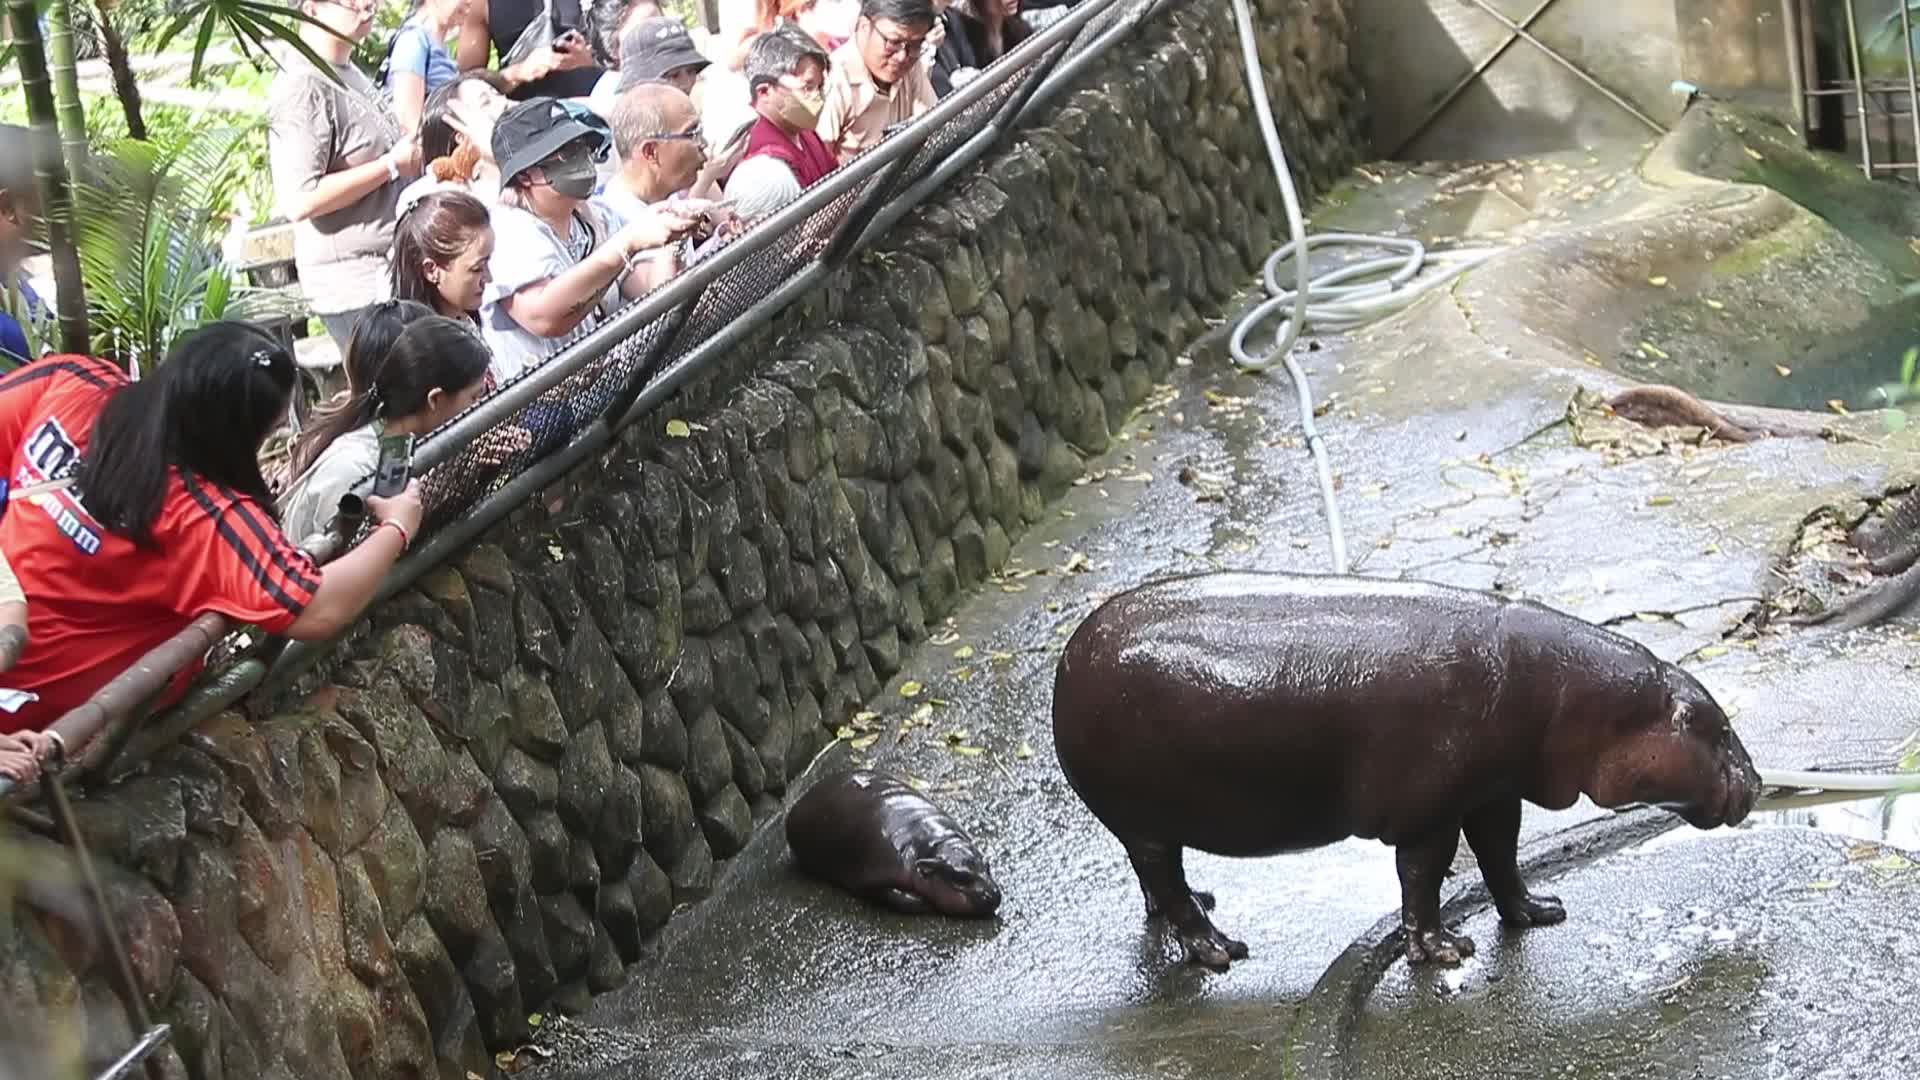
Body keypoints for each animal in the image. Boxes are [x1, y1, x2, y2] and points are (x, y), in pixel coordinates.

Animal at [785, 768, 1003, 917]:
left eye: (987, 865)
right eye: (961, 878)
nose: (994, 894)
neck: (933, 846)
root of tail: (802, 799)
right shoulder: (877, 872)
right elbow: (897, 895)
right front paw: (923, 903)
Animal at [1051, 571, 1760, 970]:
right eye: (1719, 729)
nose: (1755, 784)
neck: (1574, 698)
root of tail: (1069, 657)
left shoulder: (1492, 793)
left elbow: (1502, 855)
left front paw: (1538, 911)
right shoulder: (1430, 811)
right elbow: (1422, 878)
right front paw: (1445, 952)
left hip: (1147, 824)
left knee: (1158, 880)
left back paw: (1201, 901)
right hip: (1143, 816)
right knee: (1165, 883)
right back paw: (1220, 951)